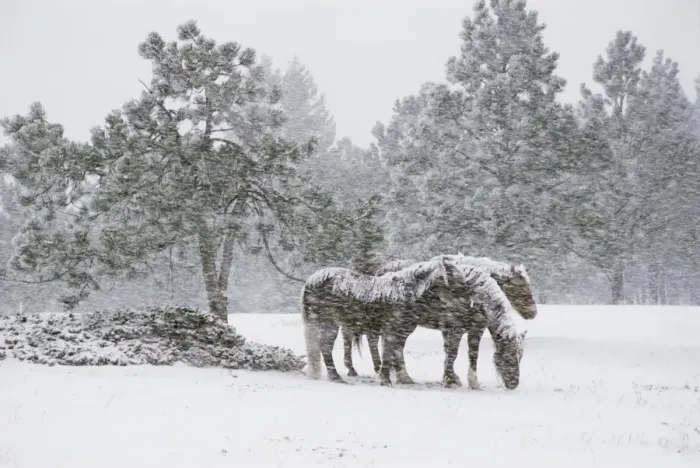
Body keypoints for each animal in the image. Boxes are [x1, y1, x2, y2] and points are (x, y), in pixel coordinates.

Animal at [302, 256, 529, 389]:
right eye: (507, 356)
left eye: (520, 356)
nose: (514, 384)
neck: (404, 291)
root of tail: (311, 280)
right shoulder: (450, 328)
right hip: (329, 324)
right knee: (327, 347)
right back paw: (338, 375)